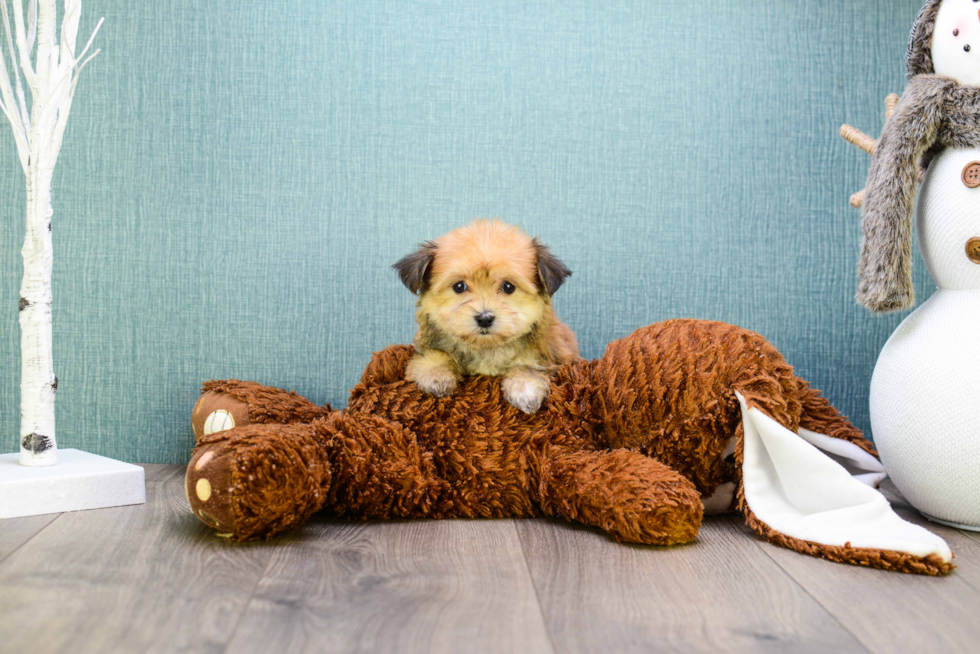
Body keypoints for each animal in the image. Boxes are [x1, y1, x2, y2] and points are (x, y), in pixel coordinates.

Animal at [390, 220, 576, 416]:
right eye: (459, 286)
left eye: (508, 286)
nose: (484, 318)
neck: (486, 348)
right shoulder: (426, 345)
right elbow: (435, 353)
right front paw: (436, 374)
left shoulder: (551, 356)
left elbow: (528, 366)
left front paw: (524, 386)